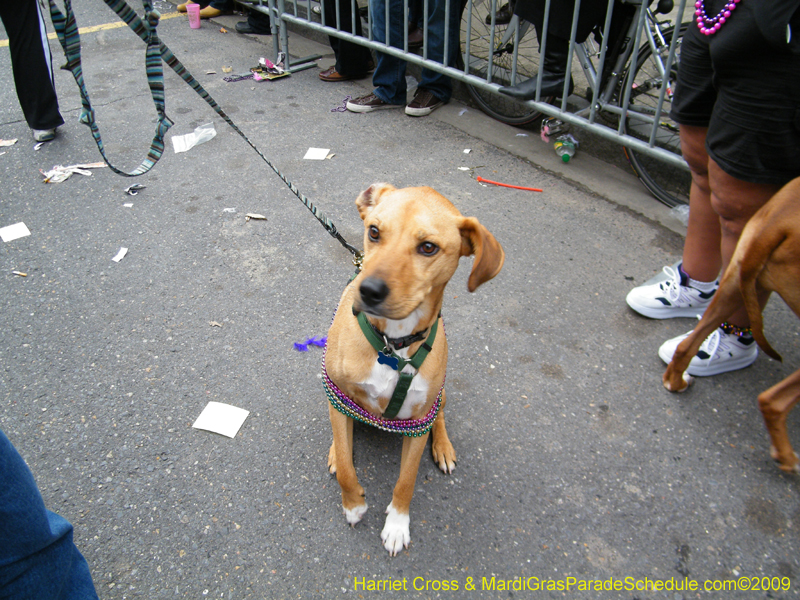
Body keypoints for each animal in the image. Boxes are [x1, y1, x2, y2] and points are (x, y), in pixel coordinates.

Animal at [322, 183, 504, 552]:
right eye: (374, 232)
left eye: (428, 247)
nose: (368, 290)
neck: (392, 344)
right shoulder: (336, 392)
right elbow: (347, 466)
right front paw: (353, 504)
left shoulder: (419, 421)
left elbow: (406, 480)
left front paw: (396, 524)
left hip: (440, 397)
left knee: (441, 416)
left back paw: (444, 447)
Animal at [660, 178, 800, 474]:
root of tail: (778, 225)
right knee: (772, 401)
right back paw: (788, 459)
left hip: (736, 278)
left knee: (685, 347)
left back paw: (679, 382)